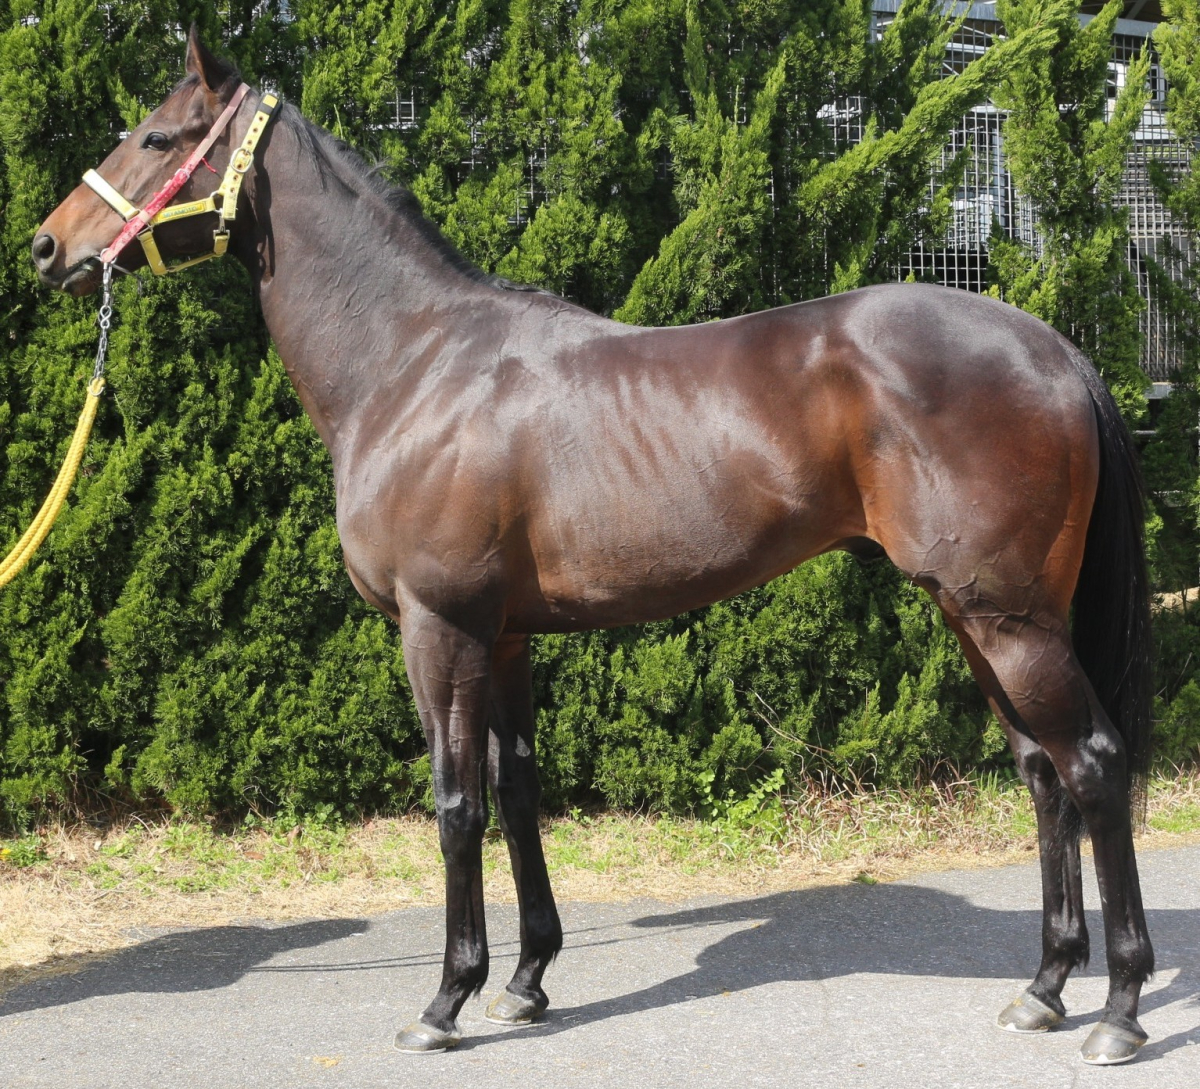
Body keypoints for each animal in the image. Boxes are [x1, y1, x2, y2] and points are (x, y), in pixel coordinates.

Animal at [32, 30, 1155, 1065]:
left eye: (157, 136)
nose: (47, 248)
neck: (413, 361)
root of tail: (1053, 348)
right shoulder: (506, 636)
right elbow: (520, 790)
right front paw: (525, 981)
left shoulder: (439, 629)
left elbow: (456, 803)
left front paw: (446, 1000)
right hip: (978, 615)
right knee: (1042, 771)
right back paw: (1045, 989)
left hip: (1008, 619)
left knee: (1094, 764)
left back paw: (1119, 1009)